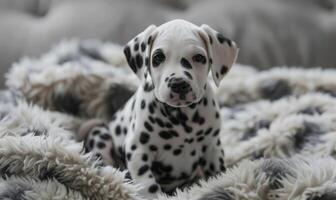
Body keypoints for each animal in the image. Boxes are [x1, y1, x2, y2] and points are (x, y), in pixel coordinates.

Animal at [82, 19, 238, 198]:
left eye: (199, 57)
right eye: (158, 57)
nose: (178, 84)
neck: (182, 118)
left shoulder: (212, 148)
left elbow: (218, 174)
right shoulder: (138, 150)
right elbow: (148, 185)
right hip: (100, 134)